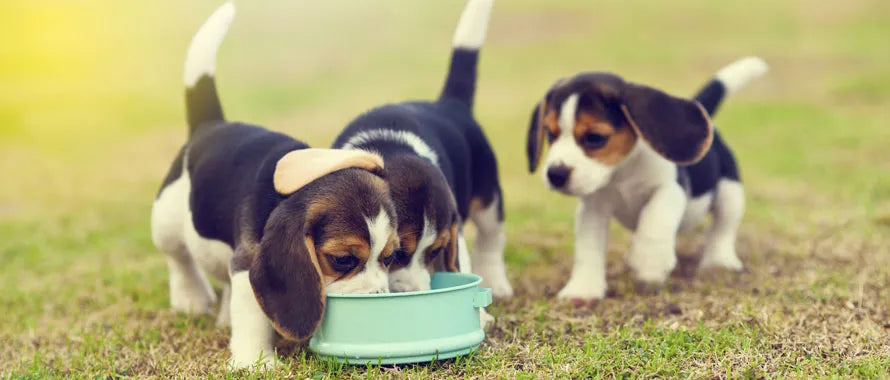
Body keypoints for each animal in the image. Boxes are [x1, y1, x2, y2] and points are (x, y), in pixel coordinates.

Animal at [150, 2, 396, 370]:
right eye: (342, 260)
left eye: (391, 257)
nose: (380, 300)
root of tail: (210, 124)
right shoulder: (250, 260)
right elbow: (253, 314)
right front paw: (255, 362)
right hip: (165, 217)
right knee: (177, 255)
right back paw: (190, 298)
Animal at [330, 0, 510, 298]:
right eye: (396, 254)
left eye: (435, 251)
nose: (412, 291)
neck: (388, 147)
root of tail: (449, 104)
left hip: (489, 198)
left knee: (491, 238)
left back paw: (497, 283)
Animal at [524, 56, 768, 302]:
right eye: (550, 134)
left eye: (595, 138)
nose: (555, 174)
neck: (621, 172)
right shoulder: (592, 209)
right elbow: (588, 248)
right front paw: (583, 289)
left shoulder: (671, 189)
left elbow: (655, 218)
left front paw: (650, 263)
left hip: (730, 192)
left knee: (723, 228)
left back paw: (719, 261)